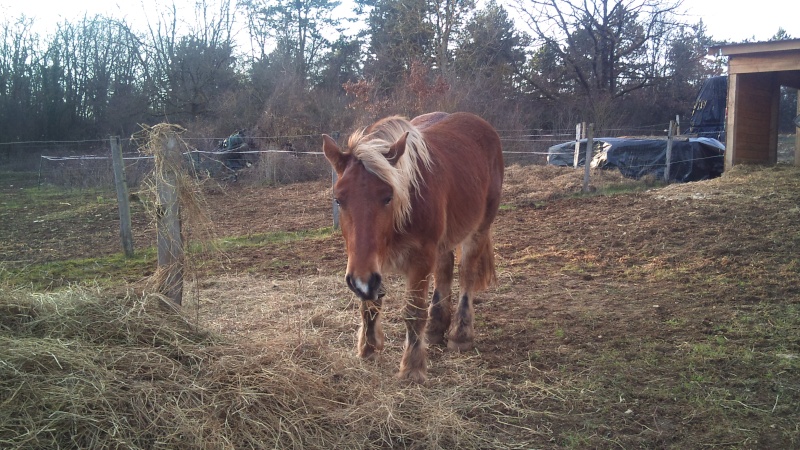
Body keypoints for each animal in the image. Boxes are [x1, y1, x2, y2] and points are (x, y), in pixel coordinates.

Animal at [322, 112, 504, 384]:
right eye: (338, 199)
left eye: (388, 197)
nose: (360, 282)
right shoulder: (368, 263)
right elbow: (369, 304)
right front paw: (369, 348)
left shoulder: (420, 259)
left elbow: (413, 311)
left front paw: (412, 367)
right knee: (444, 271)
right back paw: (435, 328)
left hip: (479, 230)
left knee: (467, 275)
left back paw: (460, 334)